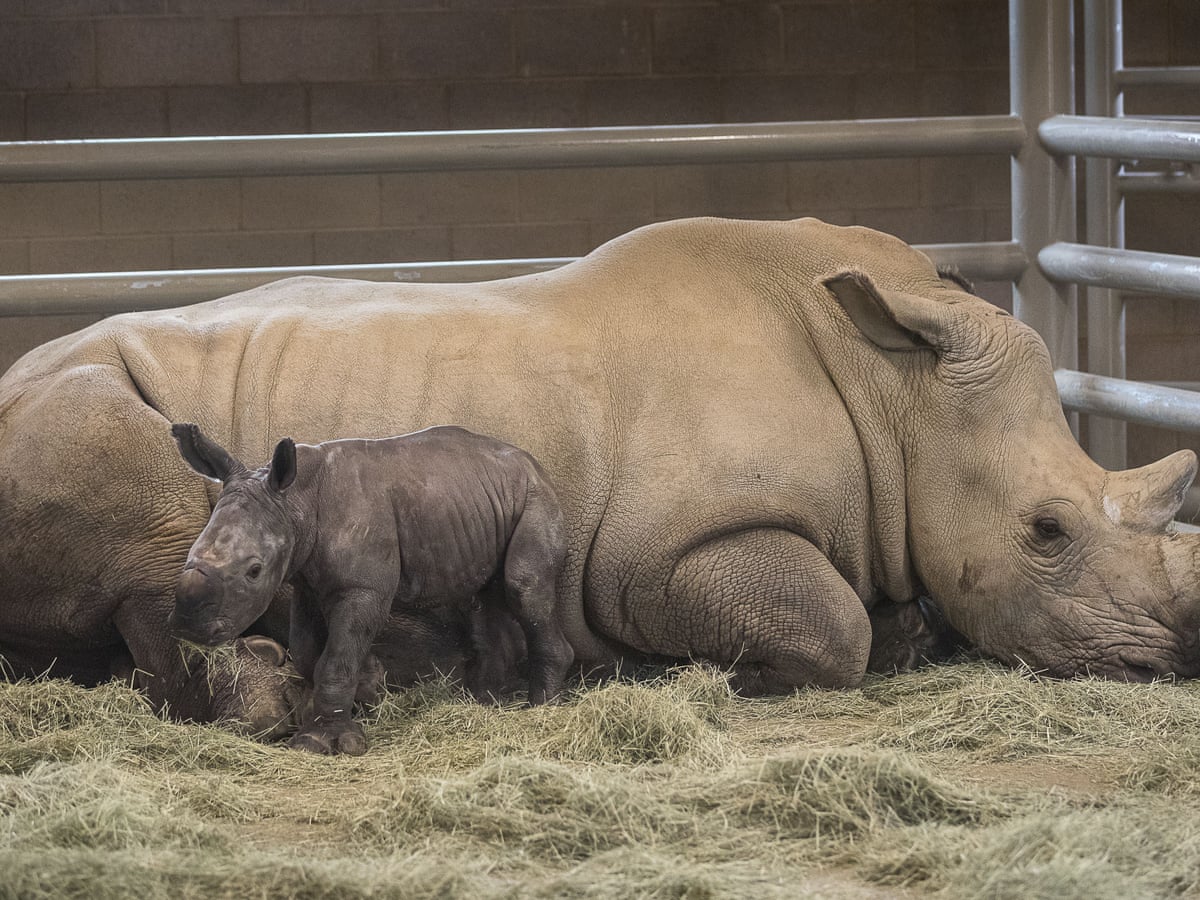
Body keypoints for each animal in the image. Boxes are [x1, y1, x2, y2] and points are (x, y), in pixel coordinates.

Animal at [170, 423, 573, 753]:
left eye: (254, 571)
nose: (190, 626)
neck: (296, 501)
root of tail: (534, 465)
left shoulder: (363, 589)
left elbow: (334, 659)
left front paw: (321, 744)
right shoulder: (307, 586)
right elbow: (307, 652)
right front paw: (367, 690)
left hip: (536, 499)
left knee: (524, 587)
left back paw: (540, 709)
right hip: (479, 501)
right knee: (484, 599)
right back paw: (484, 704)